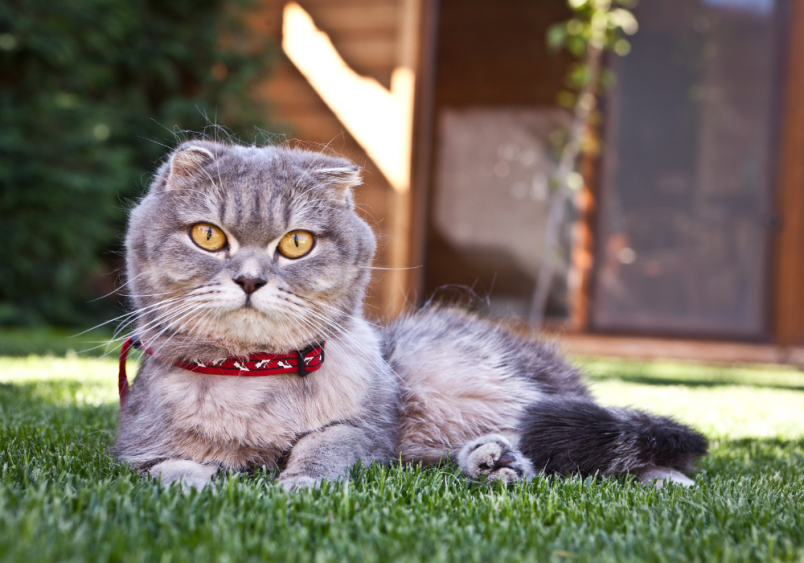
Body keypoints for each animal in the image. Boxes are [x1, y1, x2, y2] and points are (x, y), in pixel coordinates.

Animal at [116, 142, 708, 494]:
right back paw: (494, 463)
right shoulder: (132, 451)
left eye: (297, 243)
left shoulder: (366, 431)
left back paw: (667, 483)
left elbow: (321, 448)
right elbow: (166, 470)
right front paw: (201, 482)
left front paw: (297, 484)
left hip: (482, 382)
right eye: (208, 235)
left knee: (623, 446)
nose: (249, 279)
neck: (254, 375)